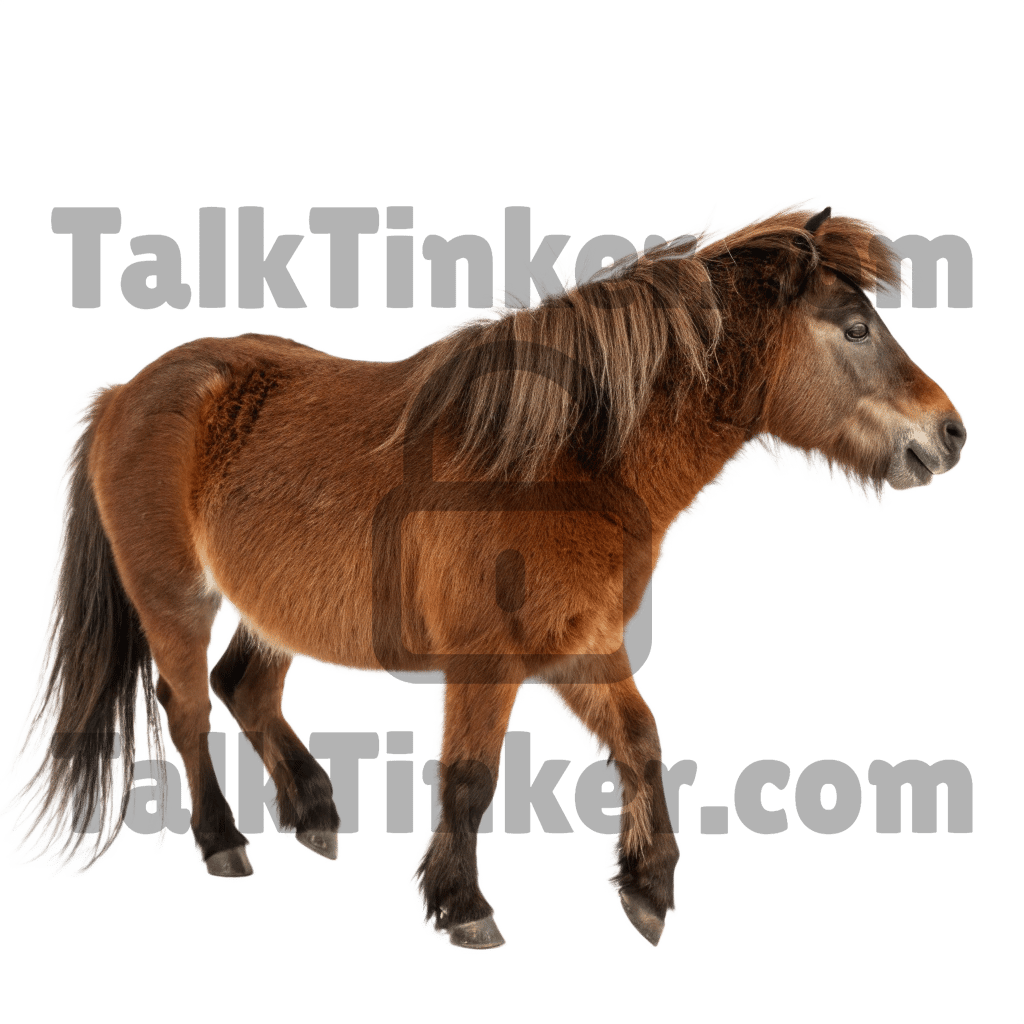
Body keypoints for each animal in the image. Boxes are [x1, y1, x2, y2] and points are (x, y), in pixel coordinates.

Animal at [2, 202, 967, 952]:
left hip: (271, 608)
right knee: (189, 706)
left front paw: (647, 890)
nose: (949, 433)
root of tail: (125, 393)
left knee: (245, 686)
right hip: (176, 600)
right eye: (856, 328)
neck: (561, 459)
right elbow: (469, 777)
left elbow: (640, 741)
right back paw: (222, 842)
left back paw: (312, 812)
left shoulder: (580, 649)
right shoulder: (485, 664)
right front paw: (461, 908)